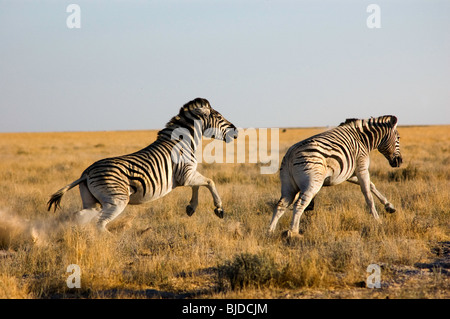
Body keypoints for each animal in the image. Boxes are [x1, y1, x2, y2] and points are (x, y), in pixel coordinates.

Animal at [46, 97, 239, 232]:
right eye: (219, 116)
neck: (182, 142)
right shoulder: (185, 174)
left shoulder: (187, 174)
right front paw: (219, 209)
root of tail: (86, 173)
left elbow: (198, 185)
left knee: (80, 216)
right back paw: (112, 241)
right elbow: (209, 182)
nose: (236, 131)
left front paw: (191, 207)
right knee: (99, 223)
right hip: (117, 200)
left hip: (91, 201)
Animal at [268, 115, 402, 238]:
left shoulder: (350, 174)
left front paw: (389, 206)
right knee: (299, 204)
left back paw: (270, 231)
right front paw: (377, 219)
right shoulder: (361, 167)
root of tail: (291, 153)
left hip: (288, 185)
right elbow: (367, 194)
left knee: (281, 205)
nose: (399, 162)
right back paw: (294, 233)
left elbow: (372, 186)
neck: (362, 139)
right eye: (398, 138)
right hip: (313, 183)